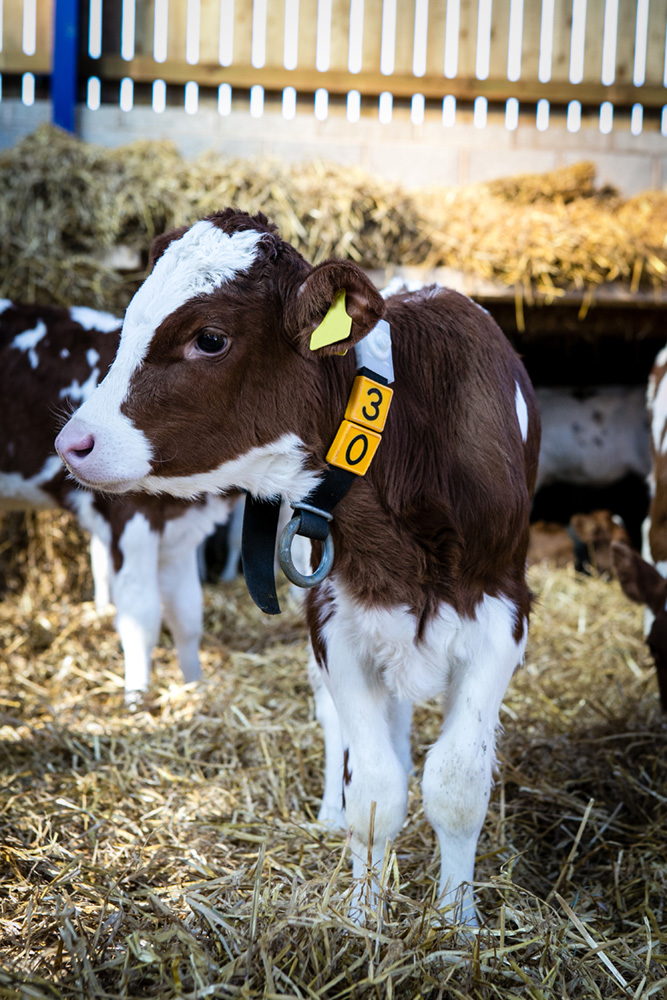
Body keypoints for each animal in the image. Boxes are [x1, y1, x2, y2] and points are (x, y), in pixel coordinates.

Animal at [0, 300, 235, 701]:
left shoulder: (183, 528)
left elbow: (188, 614)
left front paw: (194, 685)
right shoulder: (131, 518)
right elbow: (142, 619)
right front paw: (137, 698)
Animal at [54, 209, 541, 923]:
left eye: (210, 338)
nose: (72, 443)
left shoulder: (502, 613)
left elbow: (456, 783)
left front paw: (457, 923)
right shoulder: (334, 617)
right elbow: (374, 787)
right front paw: (364, 917)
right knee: (346, 728)